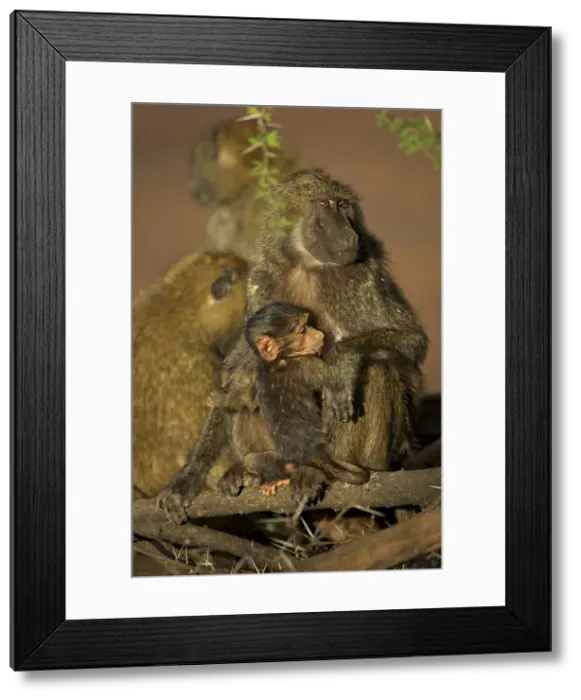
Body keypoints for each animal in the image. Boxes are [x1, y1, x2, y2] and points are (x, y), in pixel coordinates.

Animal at [155, 167, 428, 520]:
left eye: (344, 205)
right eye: (325, 204)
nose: (350, 235)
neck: (306, 265)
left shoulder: (362, 278)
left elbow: (411, 339)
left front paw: (342, 363)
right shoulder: (261, 282)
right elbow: (237, 367)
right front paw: (188, 477)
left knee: (378, 366)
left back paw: (326, 470)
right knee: (247, 377)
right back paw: (256, 470)